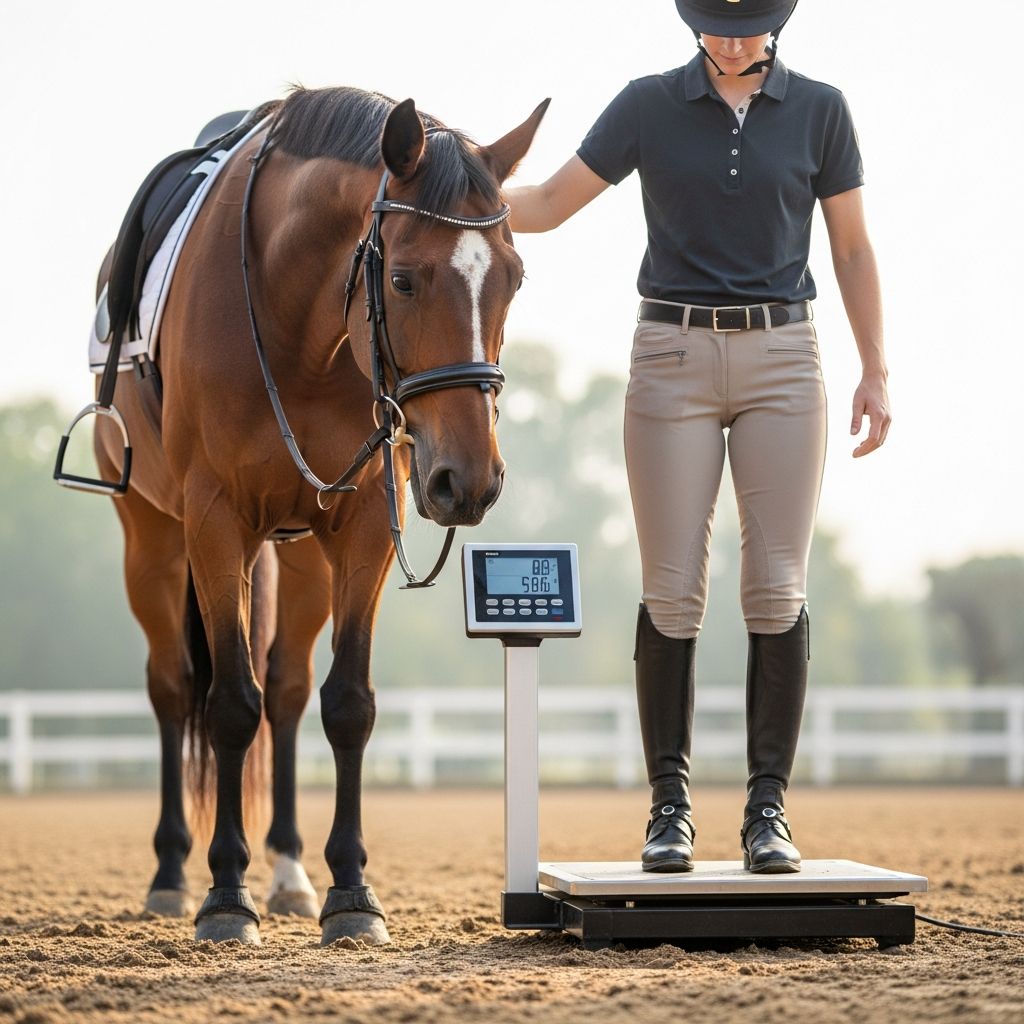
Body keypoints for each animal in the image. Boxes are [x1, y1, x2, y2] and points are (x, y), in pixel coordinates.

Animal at [89, 87, 547, 945]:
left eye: (513, 277)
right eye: (402, 279)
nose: (467, 481)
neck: (296, 319)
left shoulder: (363, 526)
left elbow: (346, 705)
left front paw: (351, 893)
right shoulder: (215, 524)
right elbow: (229, 705)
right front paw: (224, 896)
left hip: (298, 554)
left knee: (289, 690)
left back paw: (290, 873)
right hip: (153, 541)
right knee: (175, 688)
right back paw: (172, 873)